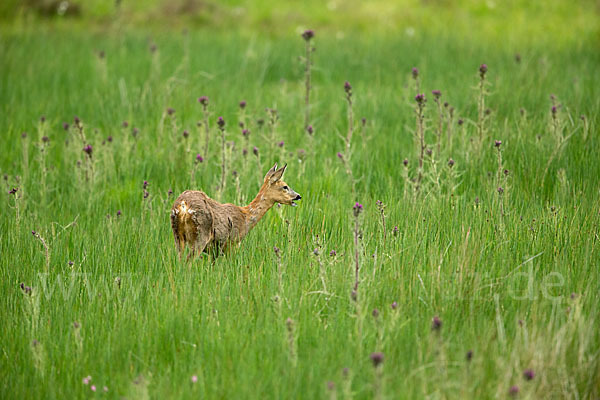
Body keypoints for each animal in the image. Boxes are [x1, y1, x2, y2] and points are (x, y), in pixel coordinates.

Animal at [170, 162, 300, 256]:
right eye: (285, 186)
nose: (298, 196)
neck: (245, 217)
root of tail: (183, 205)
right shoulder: (232, 243)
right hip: (201, 233)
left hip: (178, 236)